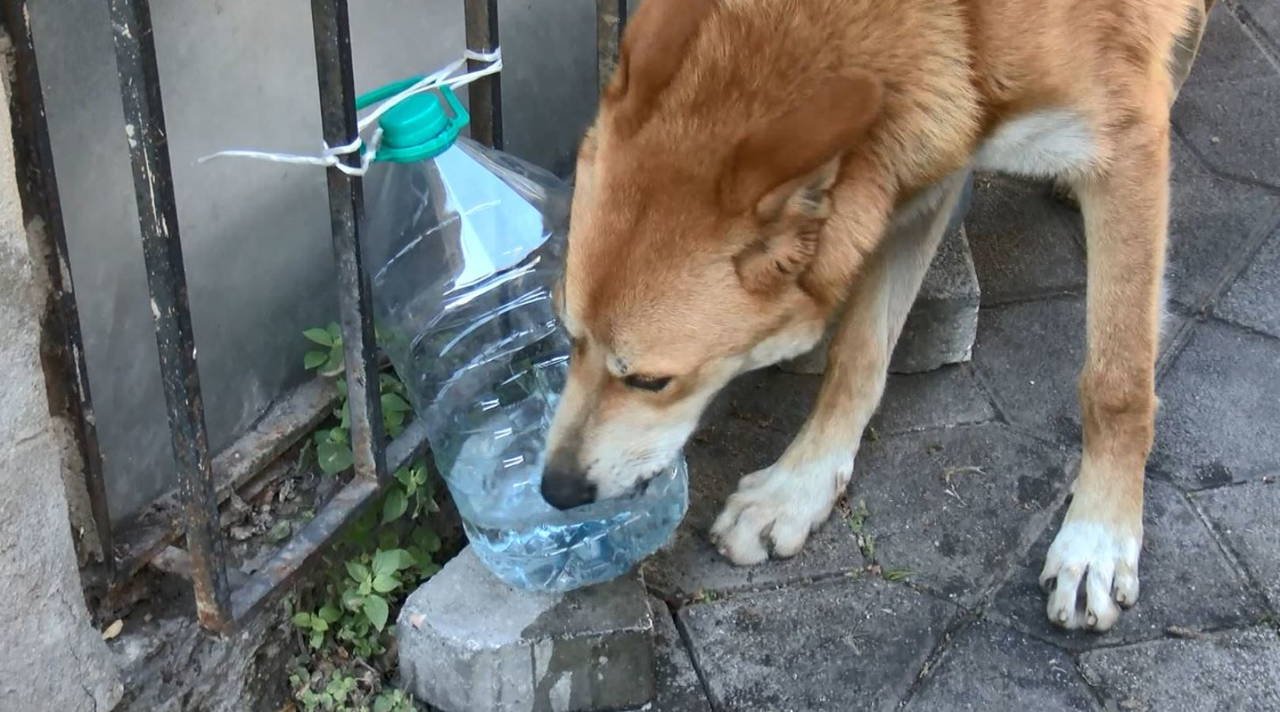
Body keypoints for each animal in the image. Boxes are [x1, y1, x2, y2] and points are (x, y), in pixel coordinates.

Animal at [542, 0, 1209, 633]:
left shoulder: (1122, 153)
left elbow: (1116, 384)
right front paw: (799, 485)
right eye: (568, 337)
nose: (555, 491)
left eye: (650, 381)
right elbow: (857, 355)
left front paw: (1097, 538)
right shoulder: (922, 168)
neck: (959, 20)